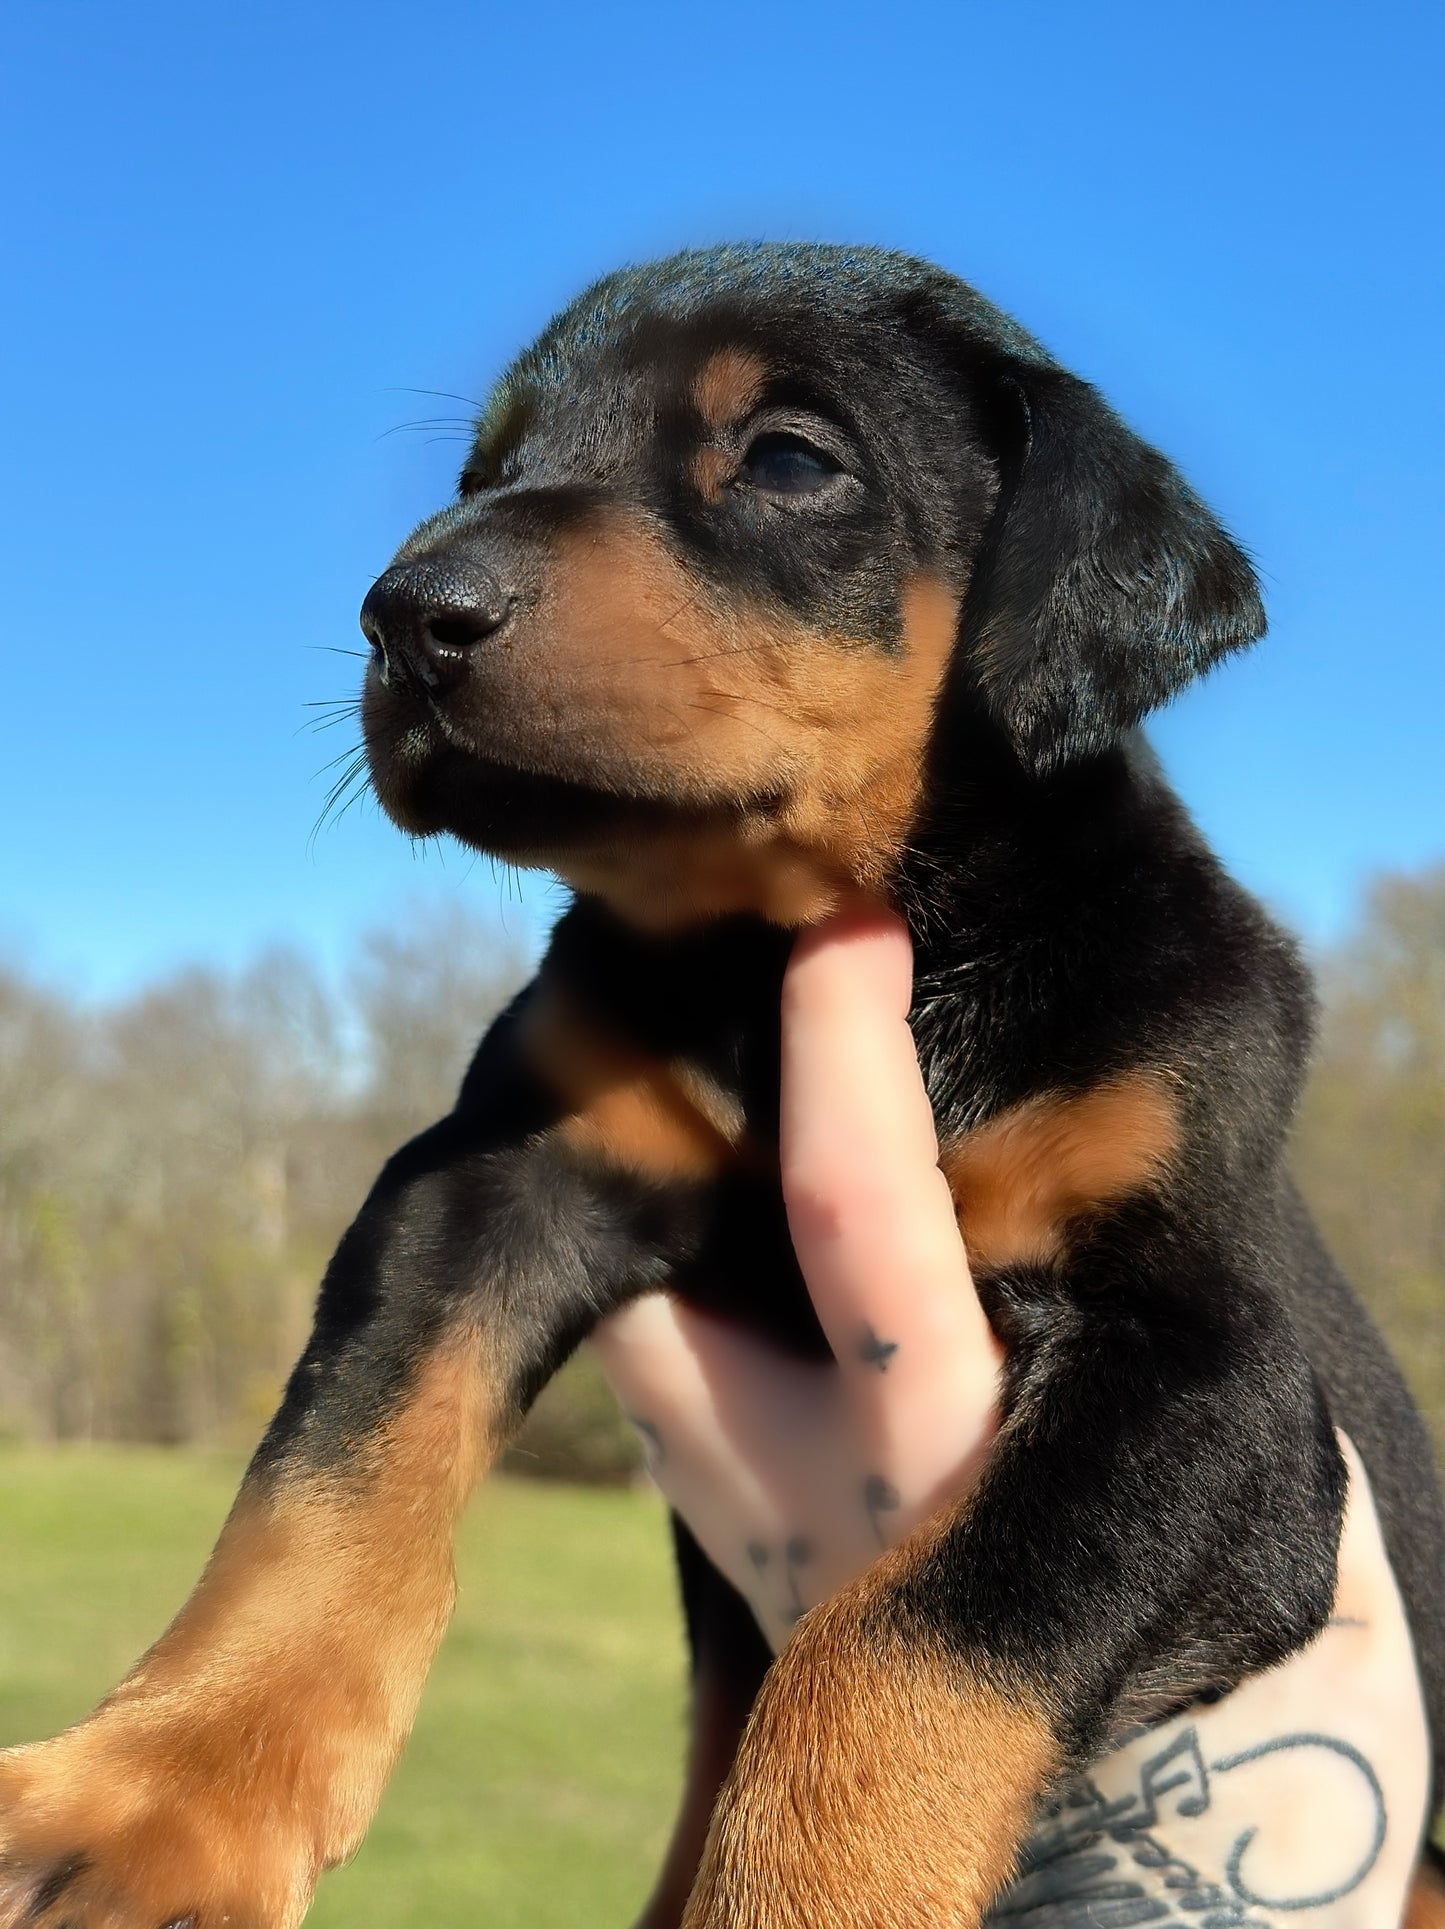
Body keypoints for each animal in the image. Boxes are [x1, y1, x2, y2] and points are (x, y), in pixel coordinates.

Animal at [2, 241, 1443, 1929]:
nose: (407, 611)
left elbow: (916, 1632)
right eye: (482, 473)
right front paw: (156, 1793)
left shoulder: (1211, 1378)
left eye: (790, 462)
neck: (783, 956)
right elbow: (328, 1478)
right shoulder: (488, 1176)